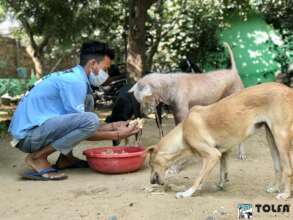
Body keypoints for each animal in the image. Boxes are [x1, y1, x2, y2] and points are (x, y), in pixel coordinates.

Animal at [147, 82, 292, 199]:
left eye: (151, 164)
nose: (151, 182)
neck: (183, 132)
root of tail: (288, 89)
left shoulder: (212, 155)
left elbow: (199, 178)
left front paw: (187, 193)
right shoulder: (222, 152)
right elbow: (223, 171)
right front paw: (221, 185)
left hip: (280, 138)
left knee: (288, 169)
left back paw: (285, 194)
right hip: (271, 139)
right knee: (279, 167)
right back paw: (274, 188)